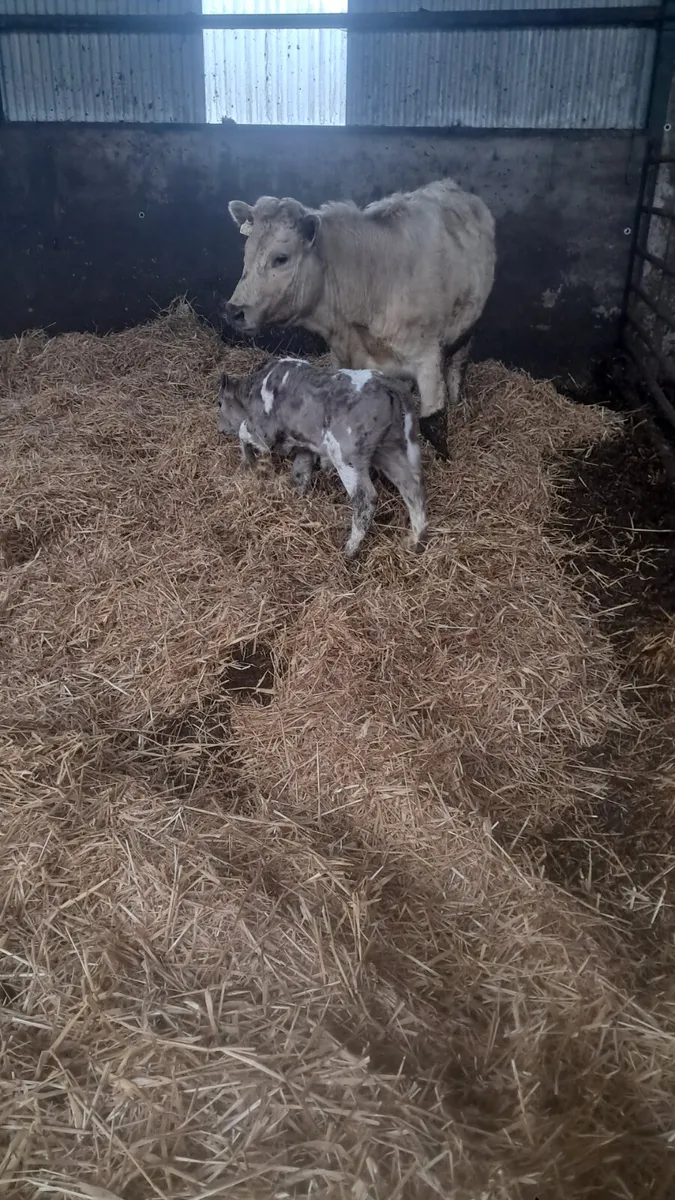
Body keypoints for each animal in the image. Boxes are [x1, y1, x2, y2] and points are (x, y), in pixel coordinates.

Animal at [216, 357, 427, 561]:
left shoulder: (263, 432)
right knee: (411, 488)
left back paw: (350, 550)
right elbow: (300, 473)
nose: (221, 429)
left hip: (345, 456)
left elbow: (242, 431)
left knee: (366, 499)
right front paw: (298, 497)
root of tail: (383, 381)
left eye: (219, 404)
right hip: (390, 448)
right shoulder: (305, 447)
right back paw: (415, 542)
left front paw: (247, 462)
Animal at [224, 178, 496, 459]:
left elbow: (433, 423)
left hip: (467, 327)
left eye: (281, 257)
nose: (234, 310)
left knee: (457, 364)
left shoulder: (427, 358)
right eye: (247, 253)